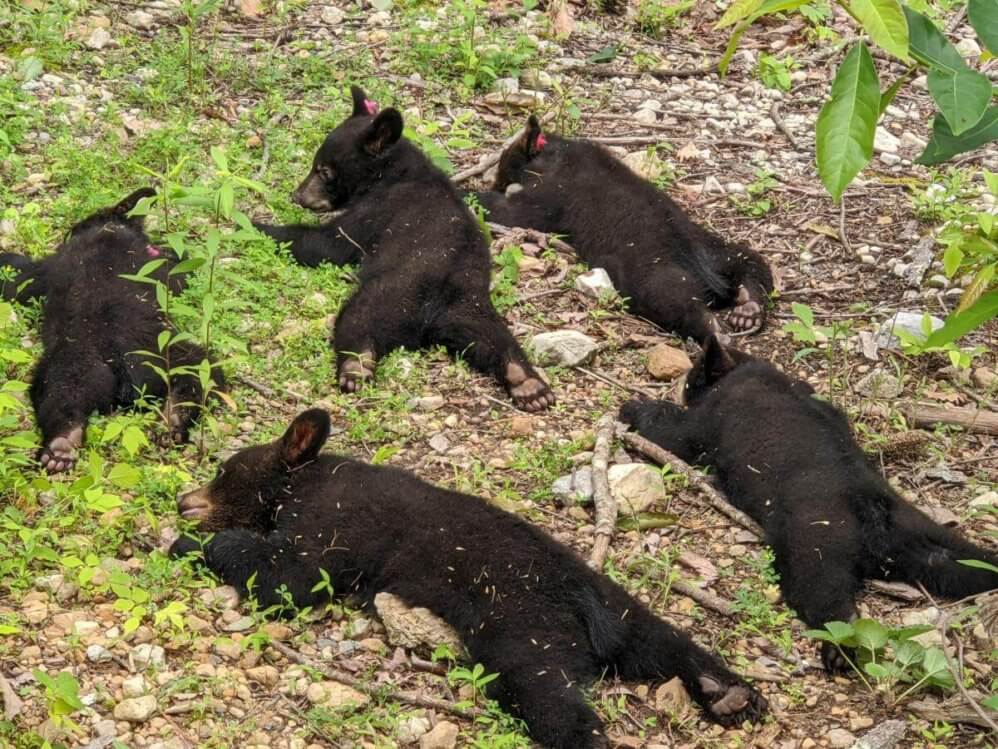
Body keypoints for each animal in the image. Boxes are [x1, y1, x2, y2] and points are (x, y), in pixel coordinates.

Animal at [0, 188, 223, 473]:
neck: (108, 228)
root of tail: (122, 366)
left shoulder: (50, 267)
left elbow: (22, 279)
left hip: (87, 359)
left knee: (59, 393)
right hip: (148, 353)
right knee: (198, 371)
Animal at [170, 408, 768, 748]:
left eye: (222, 471)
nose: (183, 500)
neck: (298, 483)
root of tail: (583, 605)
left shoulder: (334, 522)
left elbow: (291, 576)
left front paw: (191, 543)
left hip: (521, 626)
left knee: (549, 696)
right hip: (619, 605)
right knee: (666, 642)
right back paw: (732, 694)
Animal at [254, 87, 554, 412]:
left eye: (323, 170)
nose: (297, 195)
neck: (395, 173)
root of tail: (431, 312)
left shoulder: (379, 208)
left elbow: (330, 242)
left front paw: (255, 226)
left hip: (387, 295)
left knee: (356, 320)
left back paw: (355, 368)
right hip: (471, 309)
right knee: (495, 339)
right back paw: (529, 385)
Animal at [473, 116, 775, 344]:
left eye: (502, 165)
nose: (495, 181)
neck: (552, 155)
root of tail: (703, 269)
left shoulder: (551, 194)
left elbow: (515, 211)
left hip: (653, 275)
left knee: (676, 302)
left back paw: (717, 330)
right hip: (712, 246)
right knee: (750, 261)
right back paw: (748, 308)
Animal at [619, 335, 998, 670]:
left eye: (694, 374)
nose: (685, 383)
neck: (748, 372)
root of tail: (871, 506)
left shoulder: (701, 425)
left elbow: (670, 431)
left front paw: (634, 406)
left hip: (813, 549)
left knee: (830, 603)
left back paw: (838, 653)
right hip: (928, 537)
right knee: (963, 562)